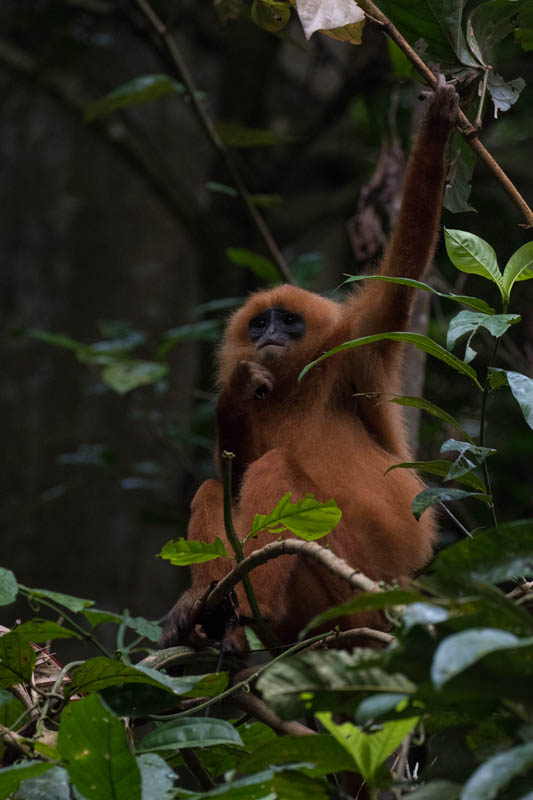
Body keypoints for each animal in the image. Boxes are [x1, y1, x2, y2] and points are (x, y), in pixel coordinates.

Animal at [160, 76, 460, 648]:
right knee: (216, 486)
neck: (295, 388)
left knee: (279, 469)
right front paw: (232, 399)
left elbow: (400, 276)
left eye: (288, 322)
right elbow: (235, 463)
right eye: (260, 324)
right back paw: (210, 611)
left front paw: (437, 127)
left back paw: (250, 610)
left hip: (344, 588)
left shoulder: (357, 346)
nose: (271, 334)